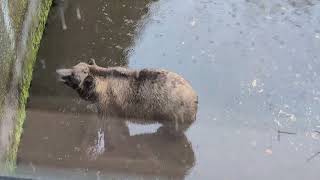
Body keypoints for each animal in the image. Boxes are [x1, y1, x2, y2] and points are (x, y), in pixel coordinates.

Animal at [56, 59, 199, 131]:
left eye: (72, 76)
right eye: (73, 67)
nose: (60, 73)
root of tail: (195, 97)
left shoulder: (109, 105)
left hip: (174, 111)